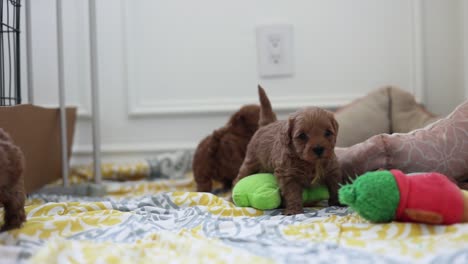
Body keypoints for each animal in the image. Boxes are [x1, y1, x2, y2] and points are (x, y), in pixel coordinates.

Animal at [233, 86, 340, 214]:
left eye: (328, 133)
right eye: (302, 136)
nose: (319, 149)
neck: (311, 164)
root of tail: (266, 125)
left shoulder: (332, 169)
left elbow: (335, 186)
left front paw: (338, 202)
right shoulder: (287, 175)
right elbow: (292, 193)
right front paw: (294, 210)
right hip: (251, 161)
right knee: (239, 177)